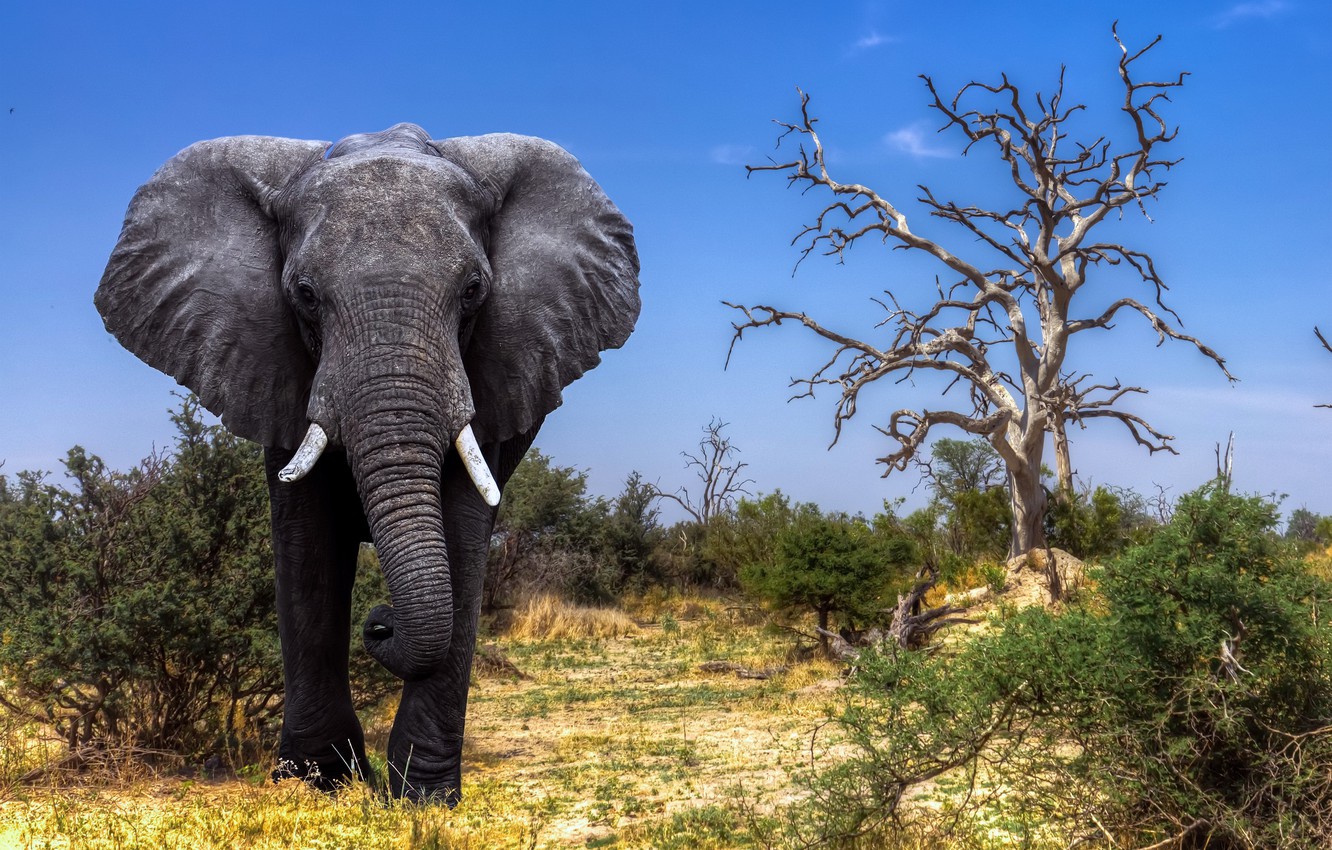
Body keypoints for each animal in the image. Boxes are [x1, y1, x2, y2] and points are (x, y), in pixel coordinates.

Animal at [94, 123, 640, 801]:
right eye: (303, 294)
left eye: (474, 291)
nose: (379, 625)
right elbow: (307, 545)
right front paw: (313, 783)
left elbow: (463, 535)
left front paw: (422, 798)